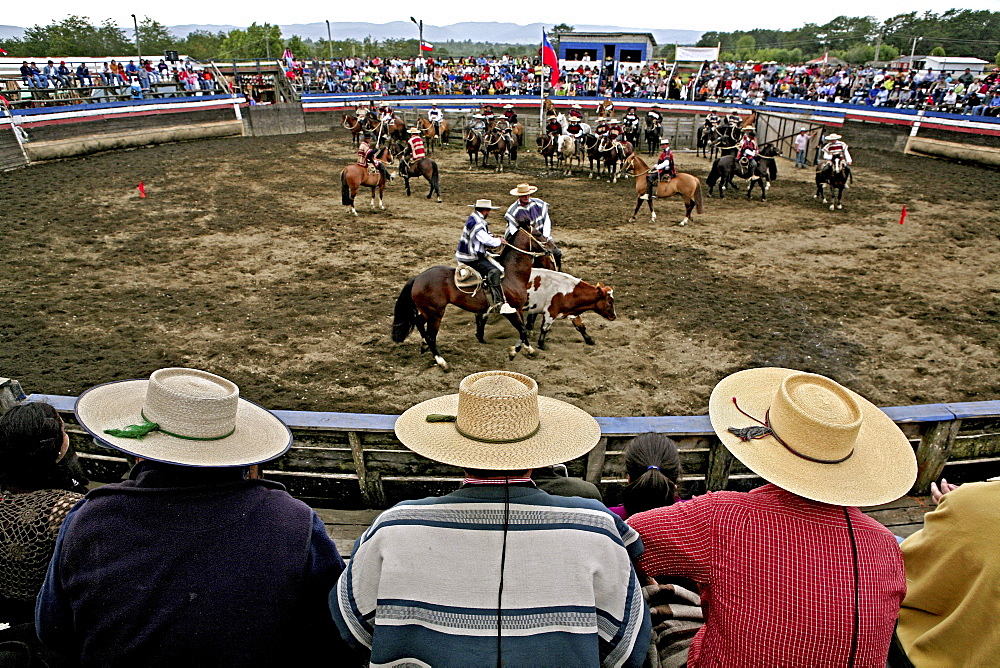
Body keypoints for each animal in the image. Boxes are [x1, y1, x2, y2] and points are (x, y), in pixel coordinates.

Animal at [390, 223, 548, 370]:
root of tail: (417, 278)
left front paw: (530, 350)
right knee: (431, 336)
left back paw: (424, 346)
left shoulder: (518, 309)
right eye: (538, 234)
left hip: (429, 312)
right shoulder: (509, 311)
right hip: (435, 314)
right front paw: (513, 352)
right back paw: (442, 363)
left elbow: (523, 330)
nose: (551, 249)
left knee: (418, 322)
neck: (511, 274)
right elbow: (522, 330)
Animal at [472, 268, 612, 350]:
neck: (569, 290)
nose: (614, 316)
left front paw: (590, 340)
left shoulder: (571, 311)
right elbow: (545, 328)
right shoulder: (551, 312)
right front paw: (541, 345)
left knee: (481, 317)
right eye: (610, 302)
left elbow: (580, 326)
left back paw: (480, 337)